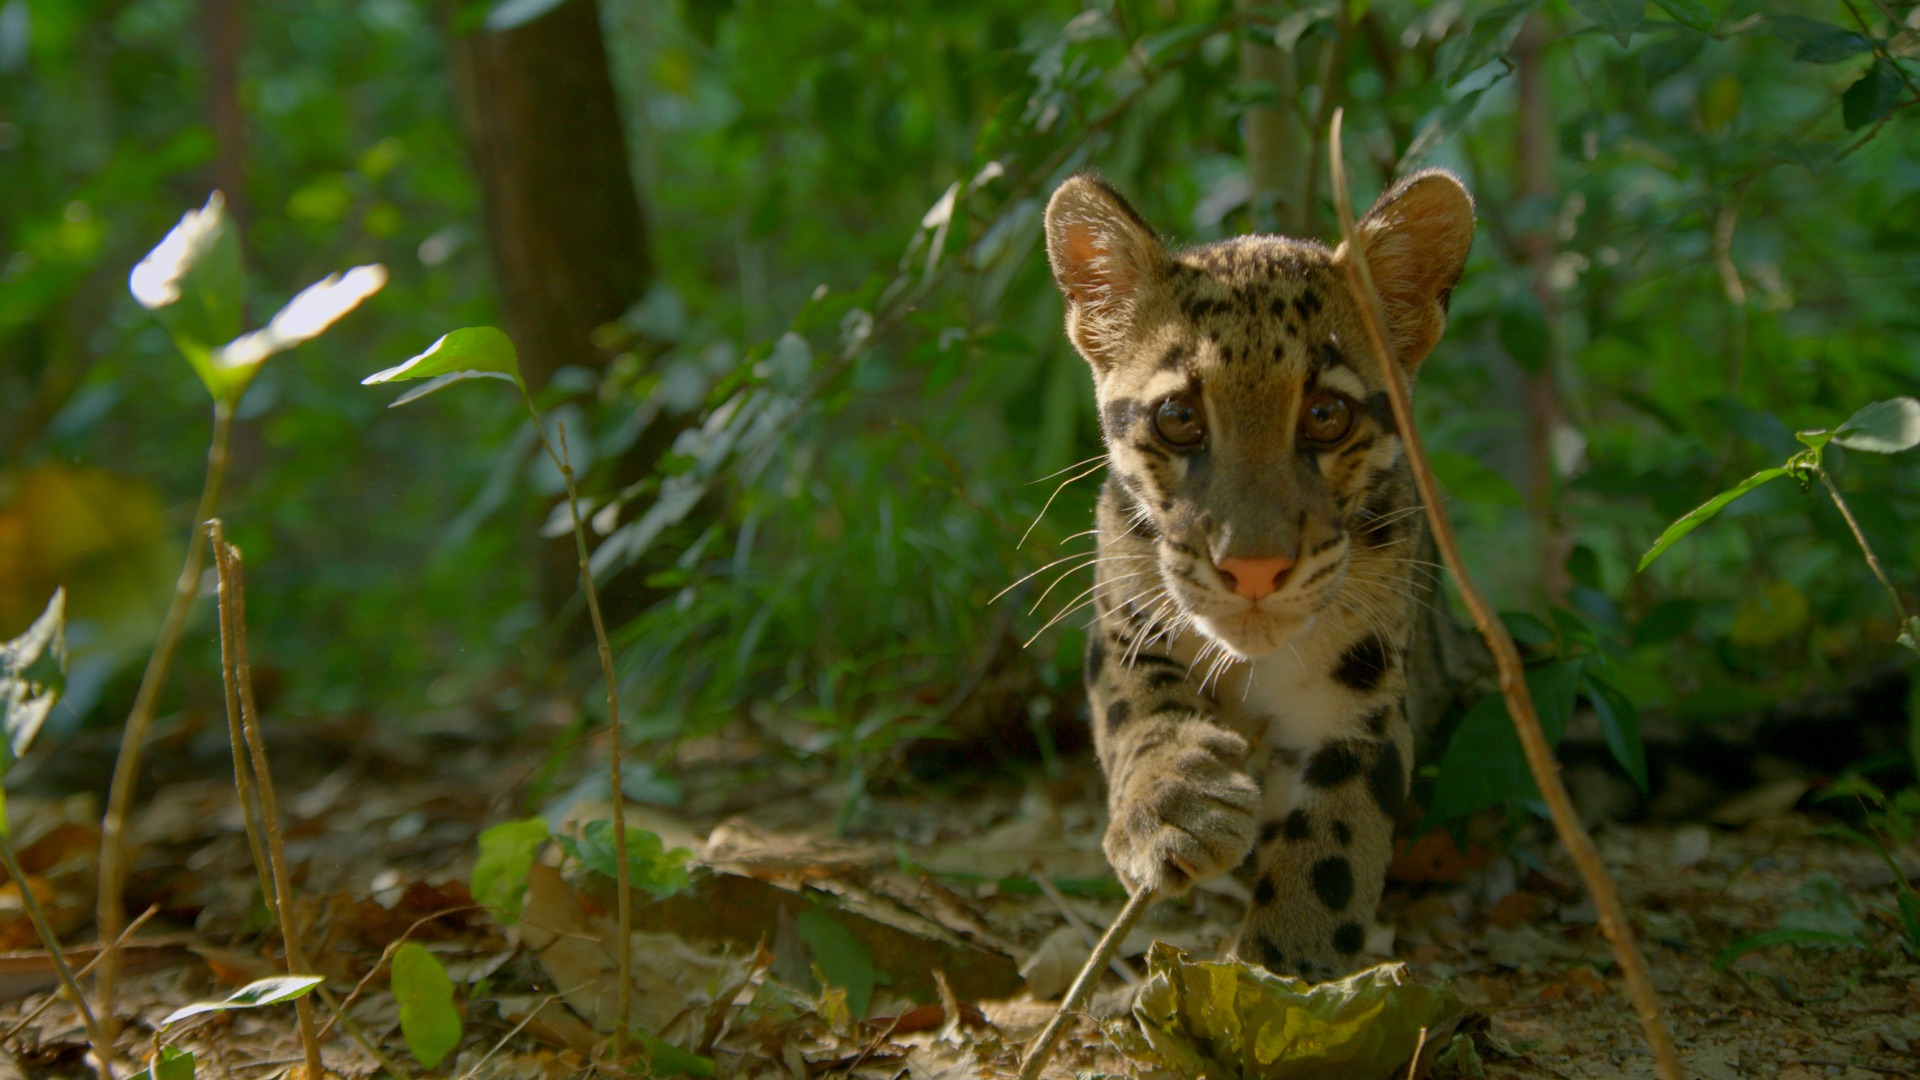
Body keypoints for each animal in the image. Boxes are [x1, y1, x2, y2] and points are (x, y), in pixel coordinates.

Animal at [1041, 168, 1477, 980]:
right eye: (1179, 417)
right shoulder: (1120, 621)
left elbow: (1330, 855)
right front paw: (1173, 807)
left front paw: (1279, 984)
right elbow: (1138, 712)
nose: (1253, 566)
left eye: (1328, 415)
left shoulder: (1364, 701)